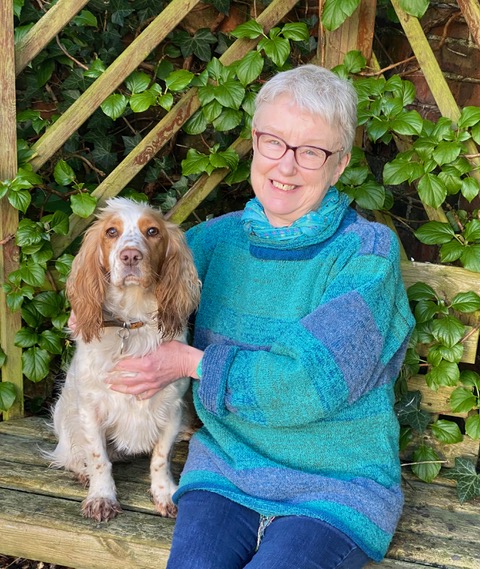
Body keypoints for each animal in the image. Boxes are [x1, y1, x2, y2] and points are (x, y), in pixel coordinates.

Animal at [50, 197, 202, 520]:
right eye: (111, 232)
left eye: (153, 231)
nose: (130, 256)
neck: (132, 322)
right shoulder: (91, 409)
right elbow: (98, 458)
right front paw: (101, 496)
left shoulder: (171, 406)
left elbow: (160, 457)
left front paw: (164, 493)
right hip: (64, 412)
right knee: (70, 453)